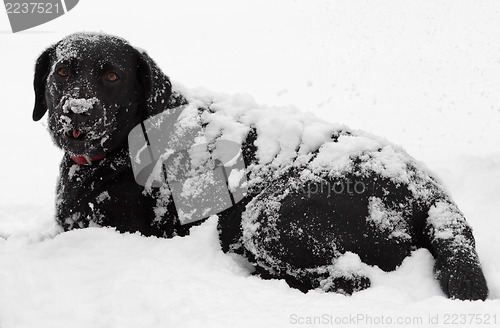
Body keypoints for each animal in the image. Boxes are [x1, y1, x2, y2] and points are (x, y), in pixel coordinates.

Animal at [34, 32, 488, 300]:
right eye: (64, 70)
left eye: (112, 76)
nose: (77, 111)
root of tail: (430, 191)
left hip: (269, 213)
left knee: (352, 279)